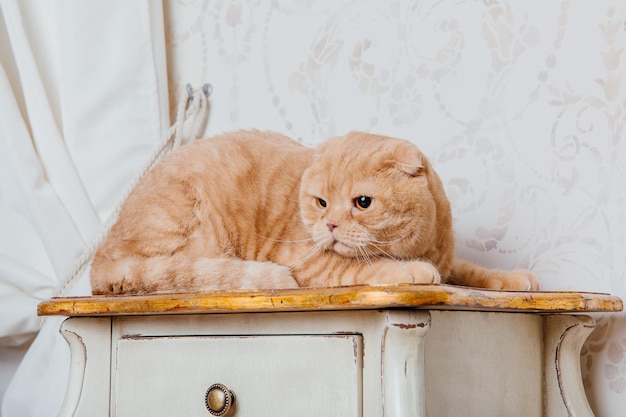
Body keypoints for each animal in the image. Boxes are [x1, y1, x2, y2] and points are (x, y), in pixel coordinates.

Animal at [90, 129, 540, 292]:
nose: (331, 224)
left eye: (362, 203)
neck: (421, 245)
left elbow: (470, 271)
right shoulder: (310, 262)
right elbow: (364, 267)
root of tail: (100, 255)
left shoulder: (449, 261)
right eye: (321, 202)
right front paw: (410, 271)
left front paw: (513, 278)